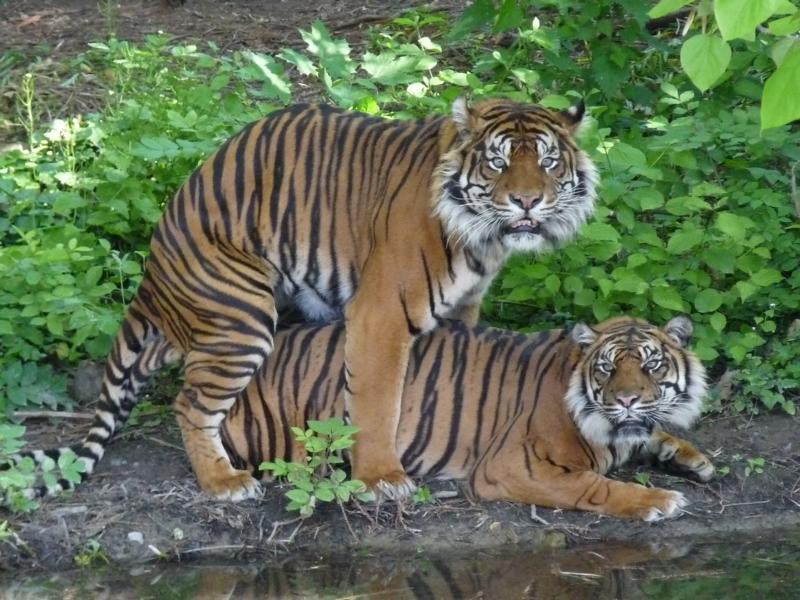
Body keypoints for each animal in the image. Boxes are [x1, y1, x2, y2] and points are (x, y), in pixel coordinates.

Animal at [14, 98, 597, 501]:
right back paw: (224, 482)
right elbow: (379, 400)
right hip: (241, 316)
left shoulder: (462, 307)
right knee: (190, 403)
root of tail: (153, 274)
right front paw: (381, 478)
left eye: (548, 162)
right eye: (498, 163)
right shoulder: (381, 313)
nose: (527, 201)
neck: (482, 237)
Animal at [220, 315, 713, 520]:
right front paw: (658, 501)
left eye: (651, 365)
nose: (627, 400)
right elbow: (594, 486)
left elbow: (656, 434)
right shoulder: (514, 463)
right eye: (608, 368)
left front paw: (693, 459)